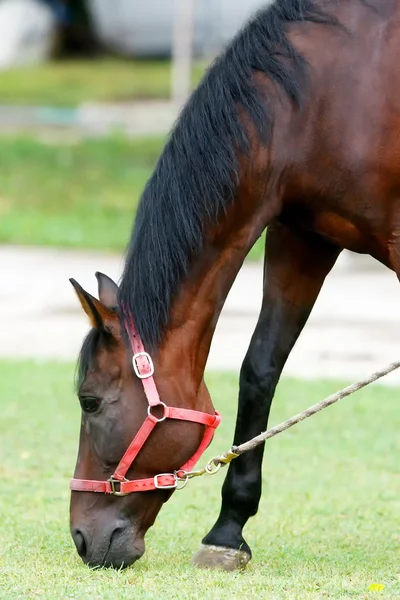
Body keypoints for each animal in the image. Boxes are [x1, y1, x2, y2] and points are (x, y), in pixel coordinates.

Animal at [68, 0, 396, 572]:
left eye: (89, 402)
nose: (82, 538)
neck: (327, 96)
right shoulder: (301, 236)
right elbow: (260, 368)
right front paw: (227, 530)